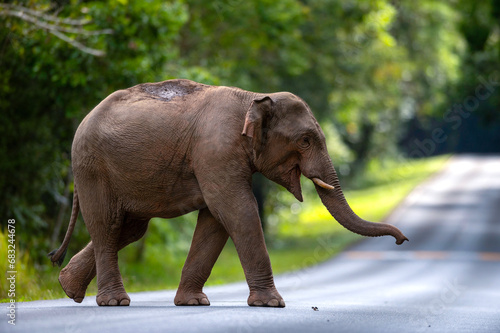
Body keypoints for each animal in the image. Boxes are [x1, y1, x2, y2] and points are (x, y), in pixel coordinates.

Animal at [48, 78, 408, 306]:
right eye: (305, 140)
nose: (402, 240)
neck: (254, 97)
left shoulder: (216, 157)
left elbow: (215, 219)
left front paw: (193, 303)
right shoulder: (216, 151)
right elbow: (238, 210)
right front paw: (272, 304)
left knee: (131, 229)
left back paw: (68, 287)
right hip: (93, 167)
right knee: (108, 225)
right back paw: (114, 301)